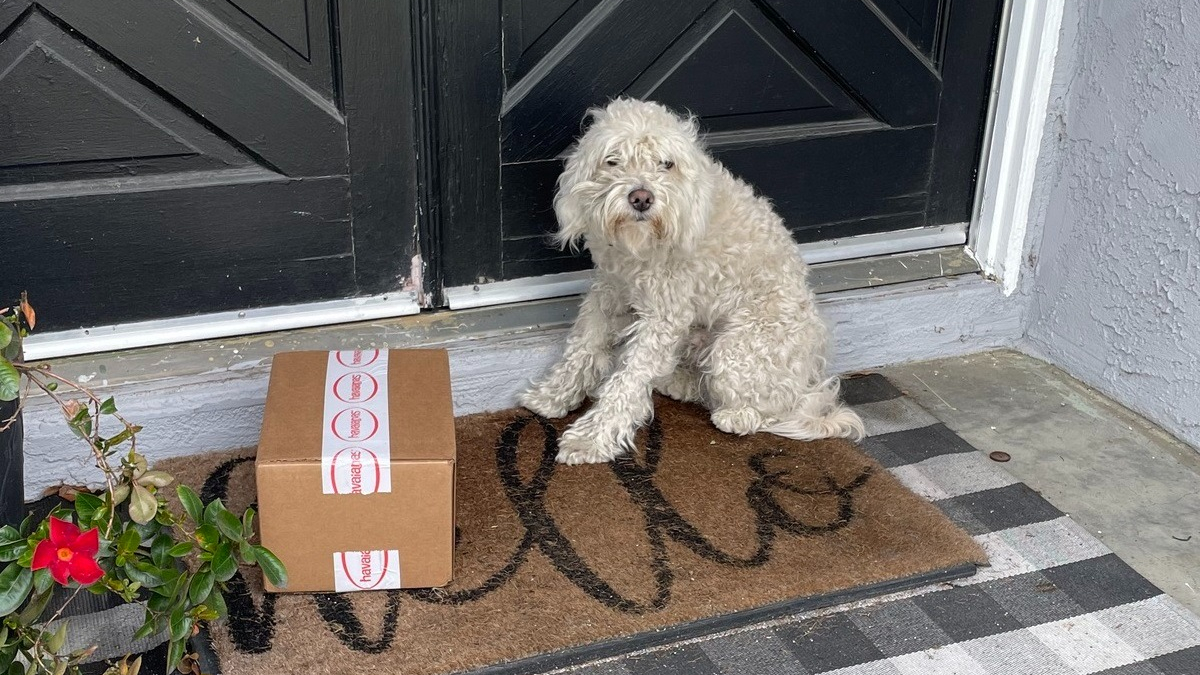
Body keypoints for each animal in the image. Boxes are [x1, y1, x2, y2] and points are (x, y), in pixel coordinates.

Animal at [516, 96, 864, 461]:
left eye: (666, 163)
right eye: (613, 160)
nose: (641, 197)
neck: (639, 248)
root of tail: (809, 376)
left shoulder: (664, 317)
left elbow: (628, 379)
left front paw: (591, 438)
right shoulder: (609, 292)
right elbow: (583, 346)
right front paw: (552, 395)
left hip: (737, 350)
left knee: (774, 407)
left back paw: (737, 415)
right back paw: (676, 383)